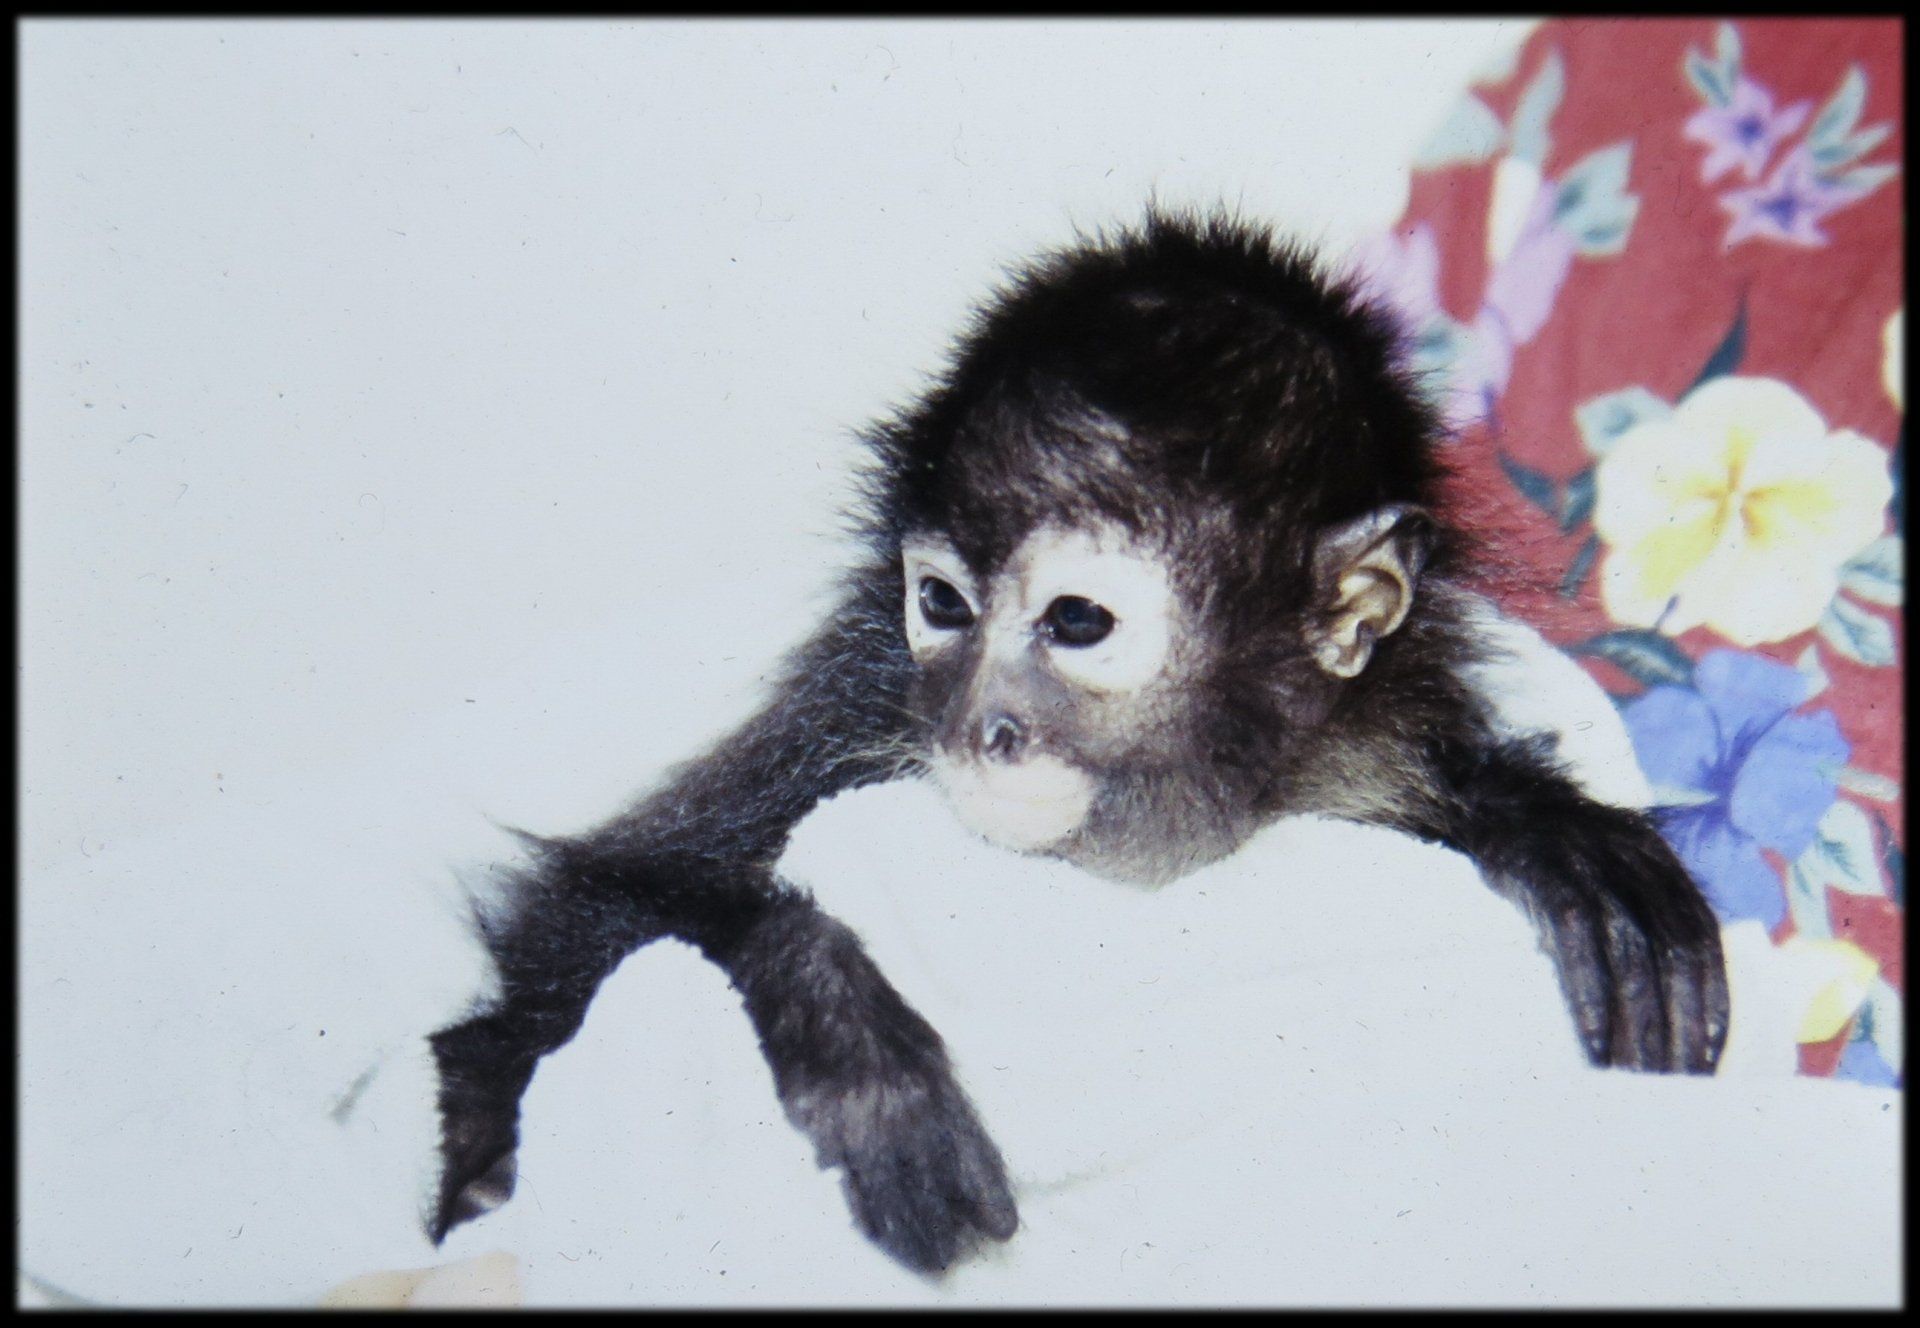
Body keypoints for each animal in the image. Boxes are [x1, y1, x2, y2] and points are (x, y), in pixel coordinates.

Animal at [425, 210, 1730, 1276]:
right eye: (940, 603)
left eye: (1077, 623)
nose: (976, 728)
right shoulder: (859, 706)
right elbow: (591, 915)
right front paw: (857, 1049)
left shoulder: (1363, 745)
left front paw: (1559, 833)